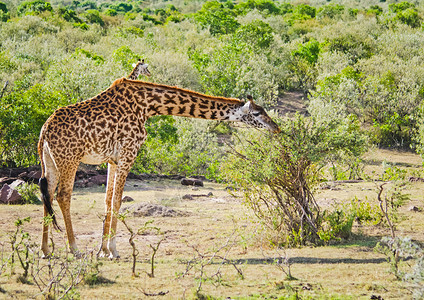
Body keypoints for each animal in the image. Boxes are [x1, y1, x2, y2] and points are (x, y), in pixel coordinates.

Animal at [38, 77, 280, 258]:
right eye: (257, 113)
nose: (276, 127)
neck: (148, 106)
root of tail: (44, 131)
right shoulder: (129, 153)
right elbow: (117, 200)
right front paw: (113, 251)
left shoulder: (112, 159)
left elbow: (108, 199)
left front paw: (103, 250)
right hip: (70, 159)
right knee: (63, 195)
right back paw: (74, 249)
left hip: (50, 161)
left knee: (46, 193)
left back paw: (45, 251)